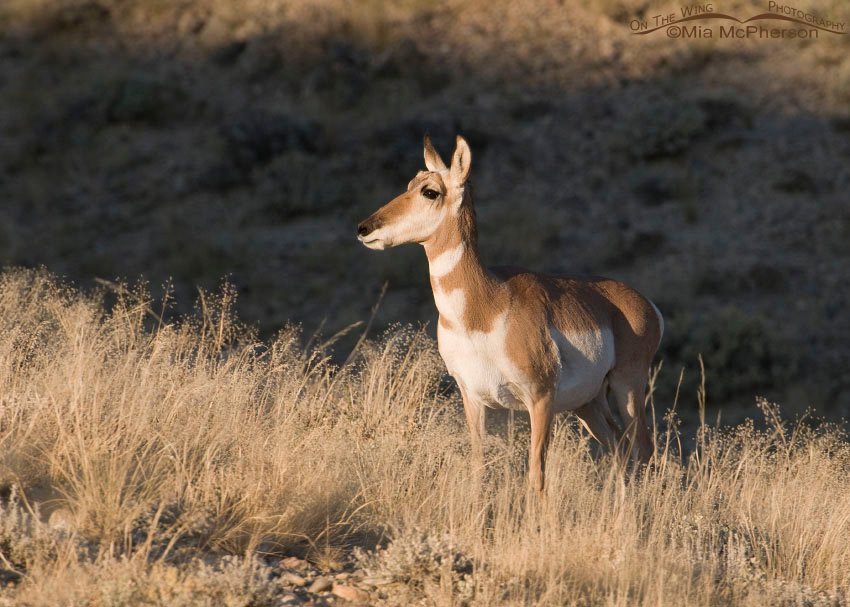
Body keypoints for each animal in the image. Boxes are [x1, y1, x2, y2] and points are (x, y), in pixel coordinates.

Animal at [357, 135, 663, 493]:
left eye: (429, 191)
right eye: (409, 184)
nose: (364, 228)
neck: (486, 308)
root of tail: (642, 302)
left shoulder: (540, 399)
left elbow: (536, 474)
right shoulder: (473, 398)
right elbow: (477, 466)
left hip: (627, 385)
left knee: (642, 448)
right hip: (588, 404)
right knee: (619, 449)